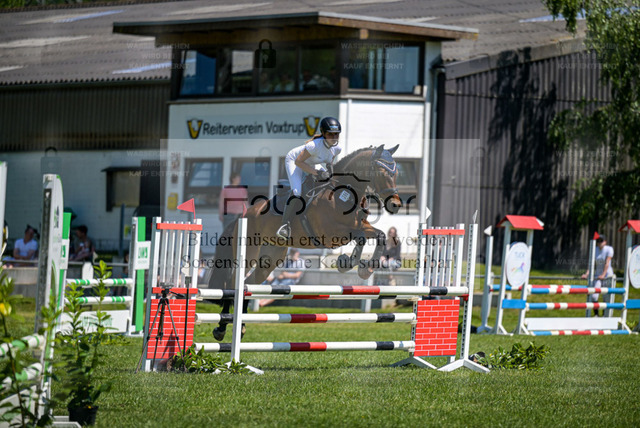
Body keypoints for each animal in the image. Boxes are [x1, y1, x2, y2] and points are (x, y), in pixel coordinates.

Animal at [207, 144, 403, 340]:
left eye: (396, 174)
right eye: (382, 172)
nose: (396, 205)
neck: (342, 195)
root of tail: (244, 214)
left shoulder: (360, 227)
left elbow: (380, 235)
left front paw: (364, 269)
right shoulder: (331, 233)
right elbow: (361, 237)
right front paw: (347, 262)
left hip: (270, 259)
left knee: (249, 283)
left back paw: (241, 327)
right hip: (249, 252)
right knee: (233, 283)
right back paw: (221, 328)